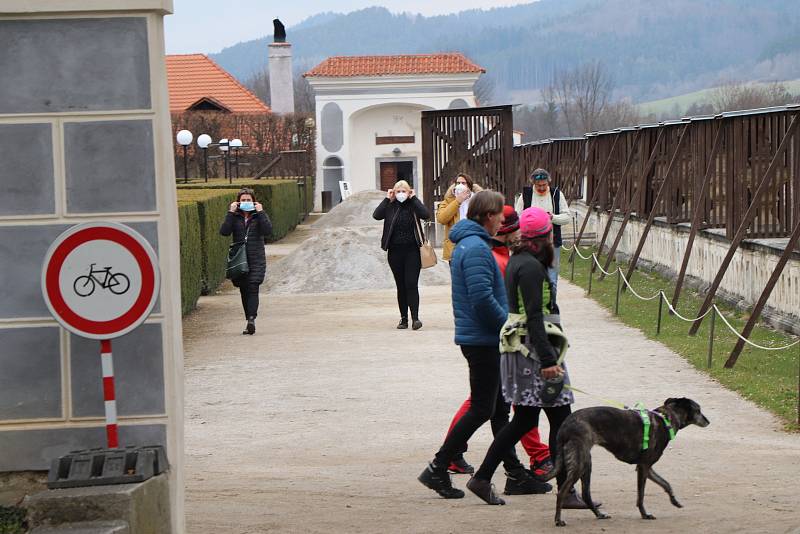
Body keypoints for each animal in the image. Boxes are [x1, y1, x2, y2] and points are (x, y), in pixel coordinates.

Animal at [552, 398, 712, 528]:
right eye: (698, 410)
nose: (708, 421)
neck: (667, 419)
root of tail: (565, 425)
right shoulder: (643, 467)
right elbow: (641, 496)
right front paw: (645, 515)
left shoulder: (646, 467)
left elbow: (665, 483)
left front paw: (674, 501)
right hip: (580, 463)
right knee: (562, 492)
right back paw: (558, 520)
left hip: (586, 463)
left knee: (586, 494)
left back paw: (599, 514)